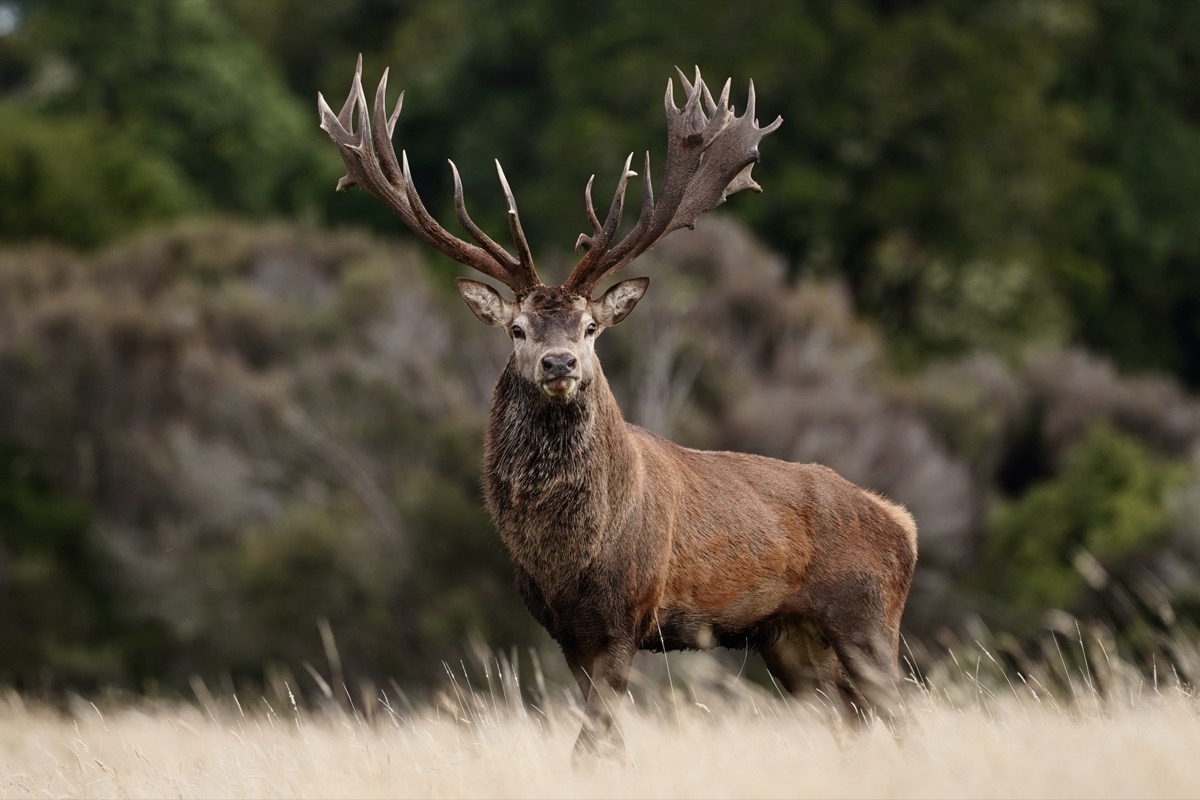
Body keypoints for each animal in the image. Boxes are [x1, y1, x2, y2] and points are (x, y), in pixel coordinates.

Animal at [319, 56, 918, 757]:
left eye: (590, 327)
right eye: (517, 329)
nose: (559, 364)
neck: (568, 555)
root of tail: (903, 525)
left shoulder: (623, 617)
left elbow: (595, 740)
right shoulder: (565, 630)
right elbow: (598, 738)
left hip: (868, 618)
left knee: (903, 714)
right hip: (791, 639)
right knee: (851, 718)